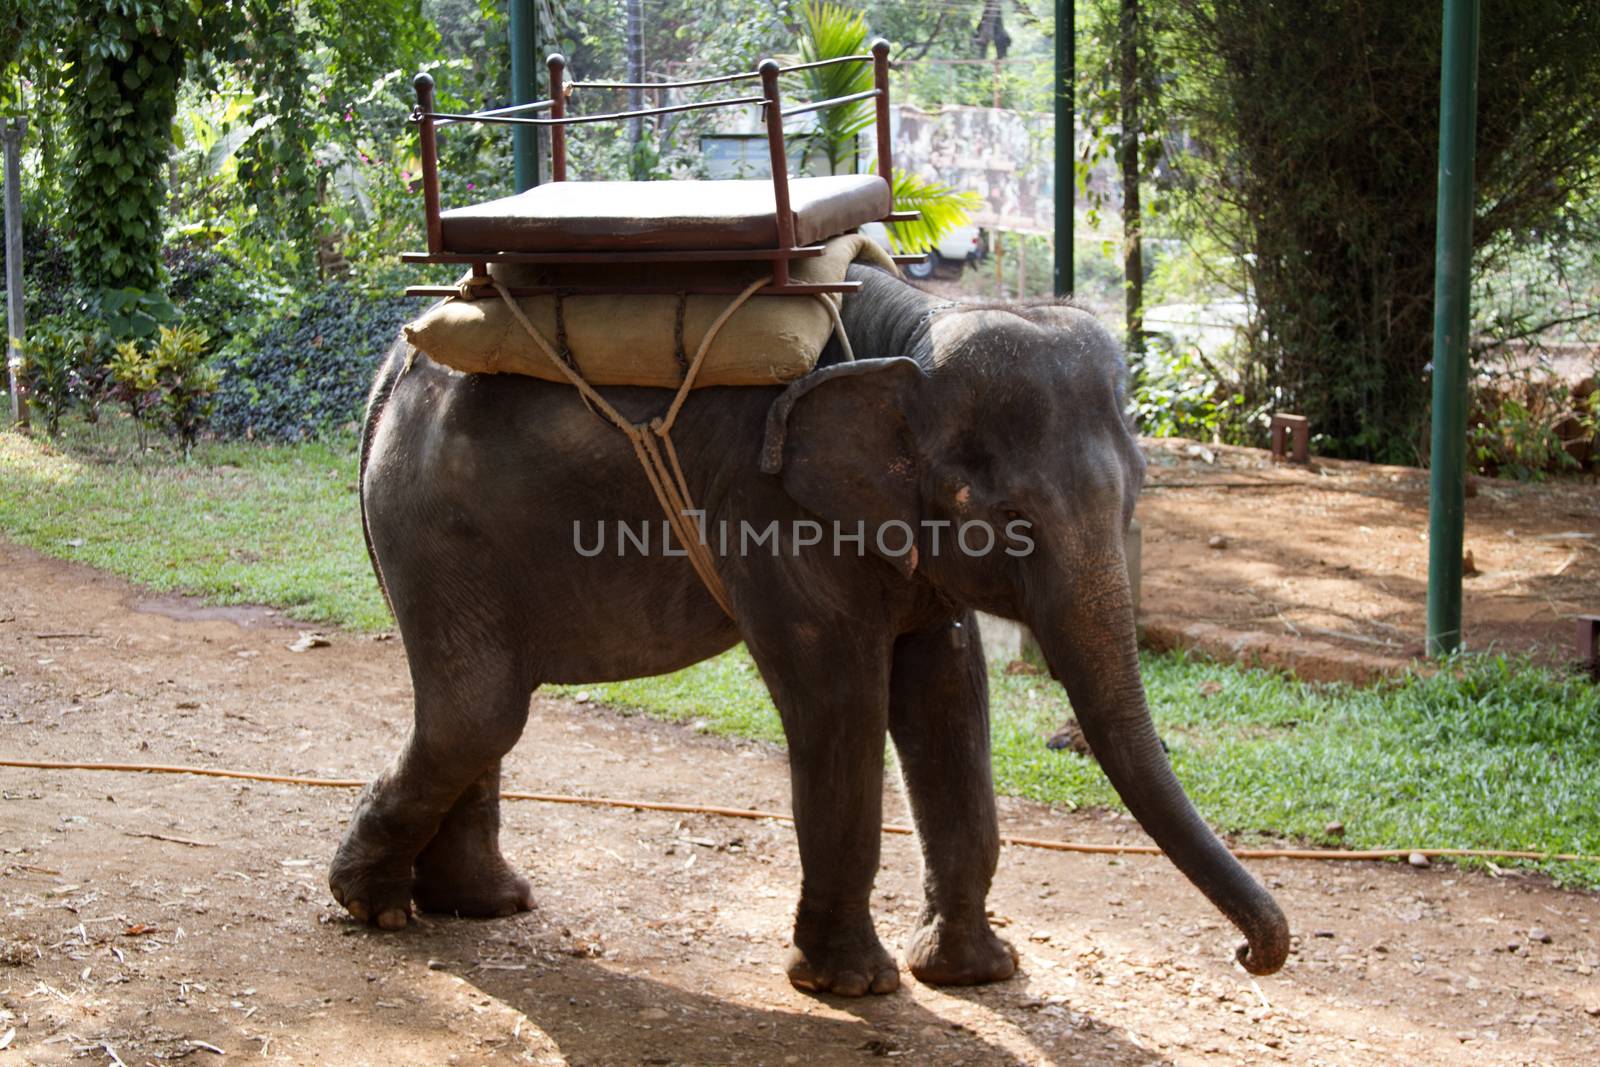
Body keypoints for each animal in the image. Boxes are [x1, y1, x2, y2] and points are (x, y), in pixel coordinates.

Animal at [328, 262, 1286, 998]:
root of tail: (393, 365)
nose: (1249, 952)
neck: (910, 332)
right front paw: (854, 985)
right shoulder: (775, 516)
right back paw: (372, 904)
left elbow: (948, 695)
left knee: (479, 709)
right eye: (1010, 519)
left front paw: (976, 973)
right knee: (479, 710)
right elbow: (841, 706)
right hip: (438, 524)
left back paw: (480, 903)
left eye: (1137, 493)